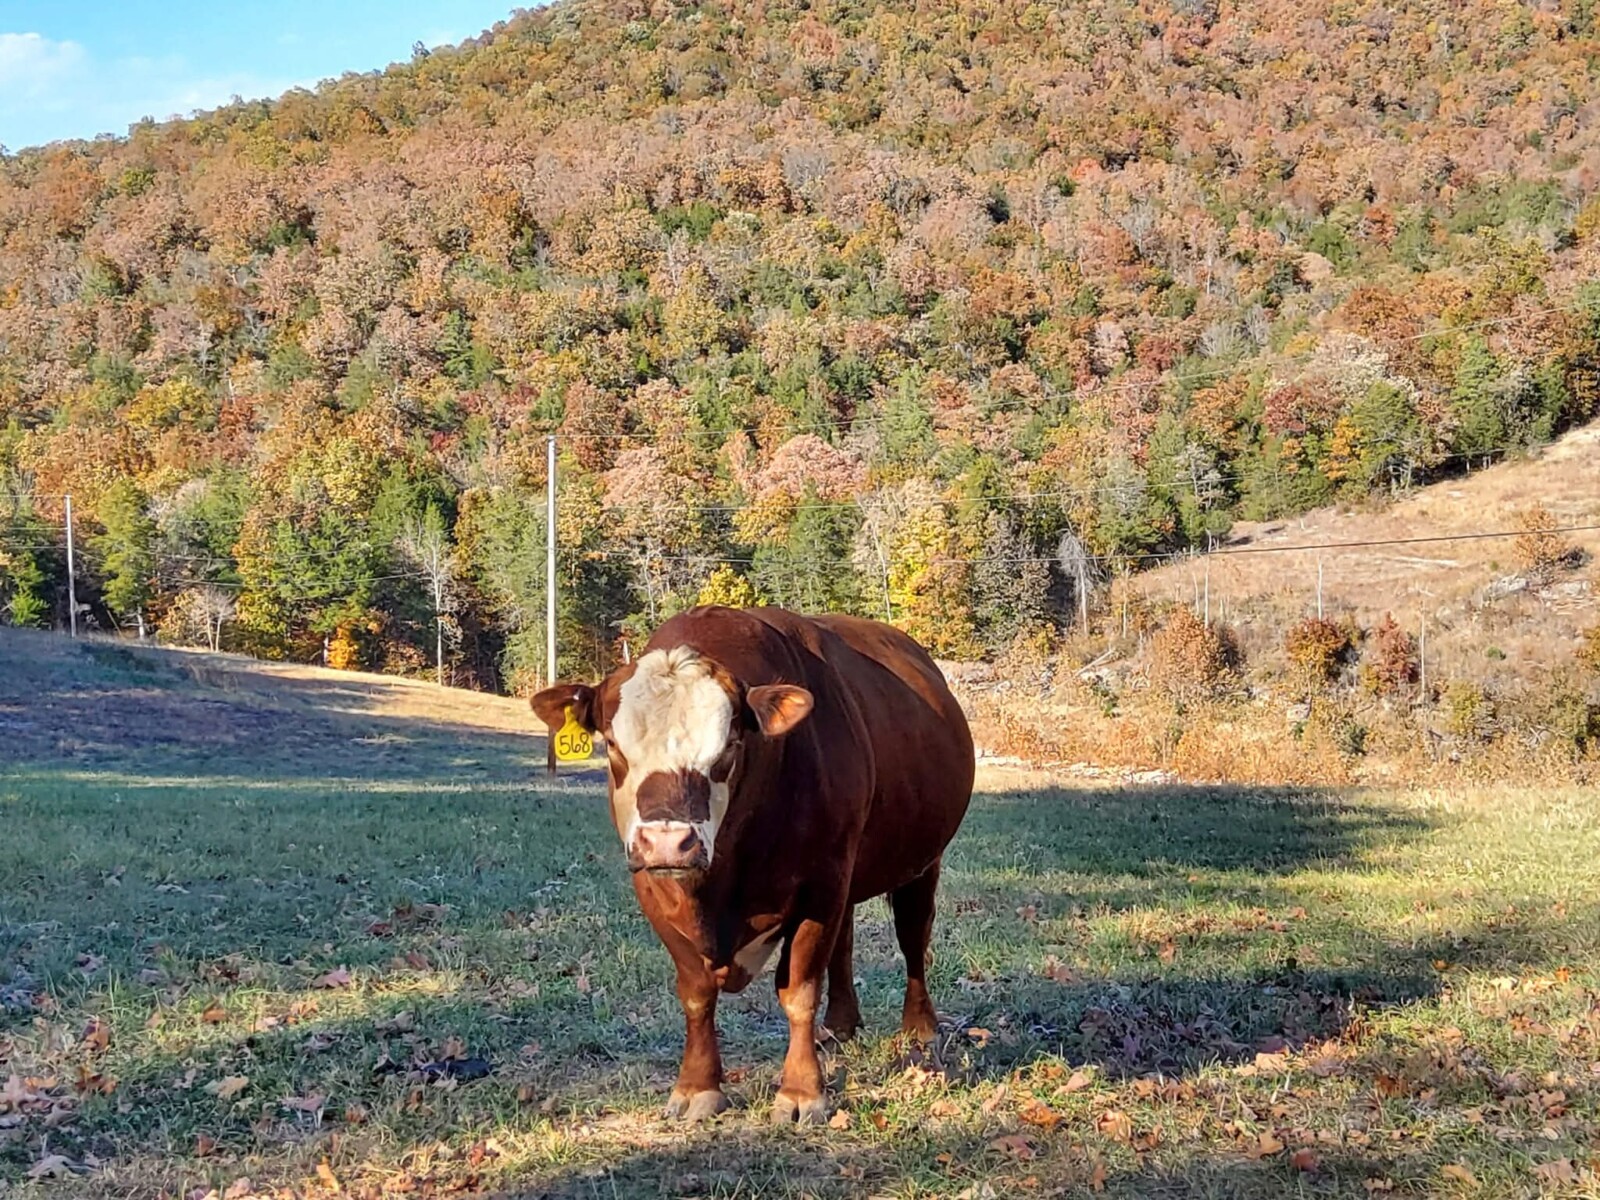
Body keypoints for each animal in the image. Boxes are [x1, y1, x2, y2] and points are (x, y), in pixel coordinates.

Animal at [530, 604, 975, 1125]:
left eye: (728, 747)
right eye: (614, 746)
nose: (668, 842)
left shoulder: (820, 884)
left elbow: (799, 990)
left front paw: (802, 1091)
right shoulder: (655, 891)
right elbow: (696, 994)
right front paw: (697, 1086)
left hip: (921, 862)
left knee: (913, 938)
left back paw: (920, 1028)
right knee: (845, 942)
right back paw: (839, 1026)